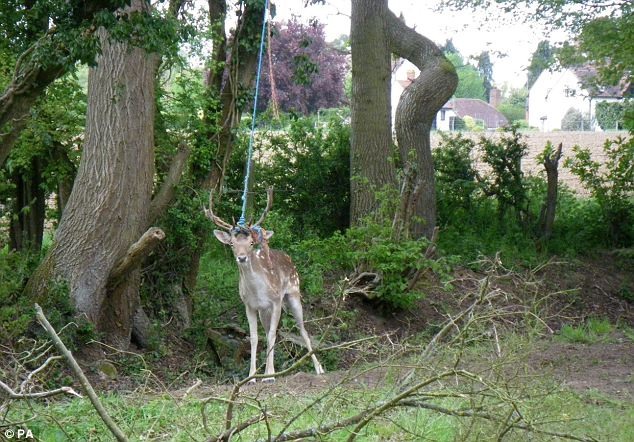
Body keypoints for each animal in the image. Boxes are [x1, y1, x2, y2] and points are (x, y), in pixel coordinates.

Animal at [207, 188, 324, 382]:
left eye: (251, 243)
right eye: (231, 243)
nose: (241, 257)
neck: (257, 291)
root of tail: (288, 258)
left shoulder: (276, 301)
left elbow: (271, 335)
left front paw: (269, 376)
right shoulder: (249, 306)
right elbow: (255, 337)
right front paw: (252, 376)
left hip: (293, 294)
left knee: (302, 331)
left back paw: (318, 368)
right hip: (265, 312)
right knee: (272, 331)